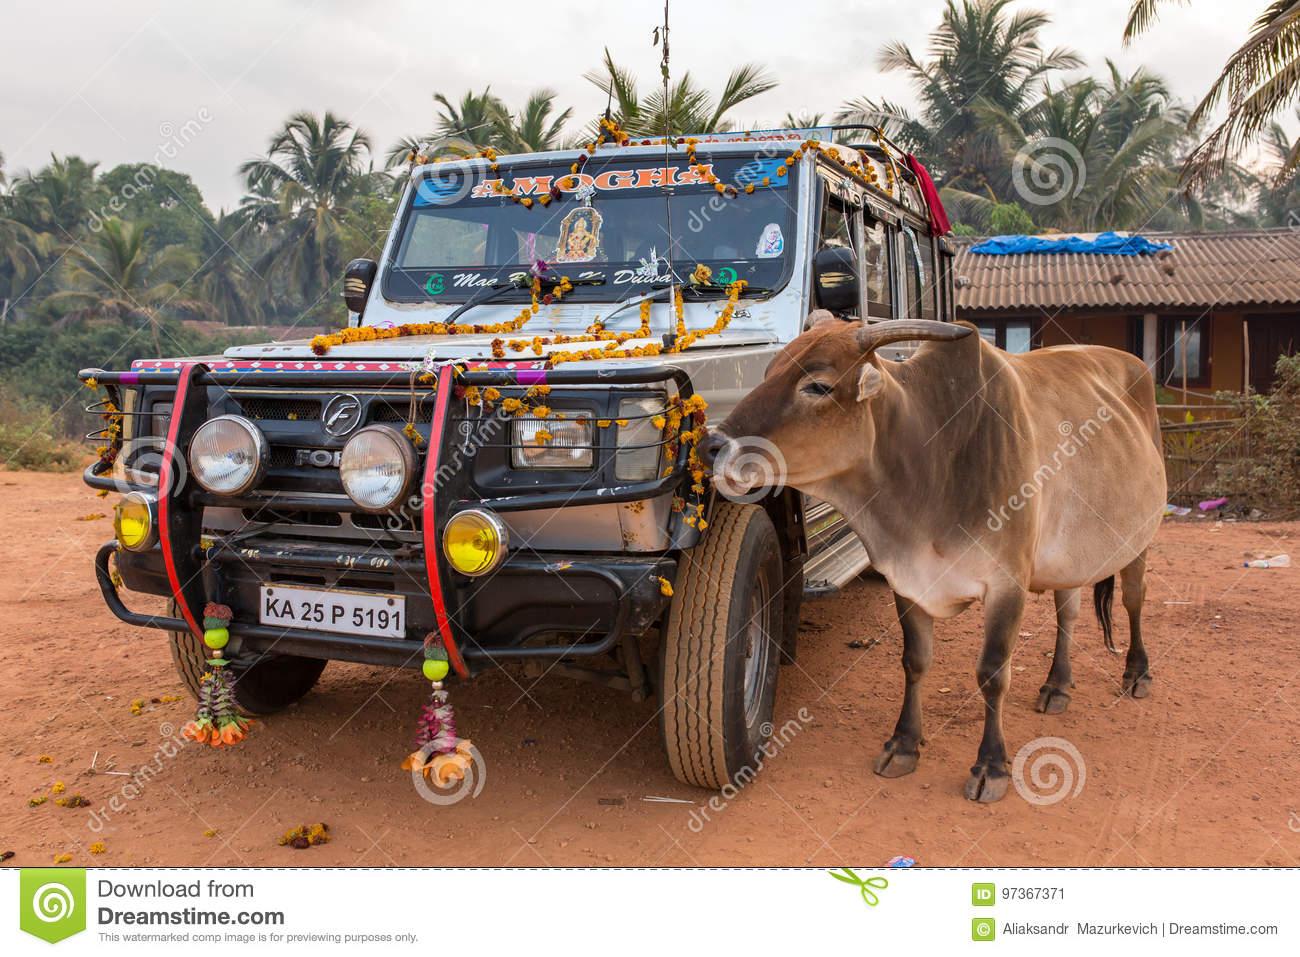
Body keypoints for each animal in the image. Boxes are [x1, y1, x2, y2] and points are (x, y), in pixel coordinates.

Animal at [699, 313, 1167, 802]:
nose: (712, 445)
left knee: (1134, 598)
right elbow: (915, 660)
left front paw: (991, 766)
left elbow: (992, 673)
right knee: (1068, 611)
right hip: (1069, 555)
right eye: (769, 372)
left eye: (818, 386)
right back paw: (1057, 685)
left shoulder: (1007, 584)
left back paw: (1137, 673)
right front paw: (904, 743)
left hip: (1141, 535)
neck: (932, 462)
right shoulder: (906, 579)